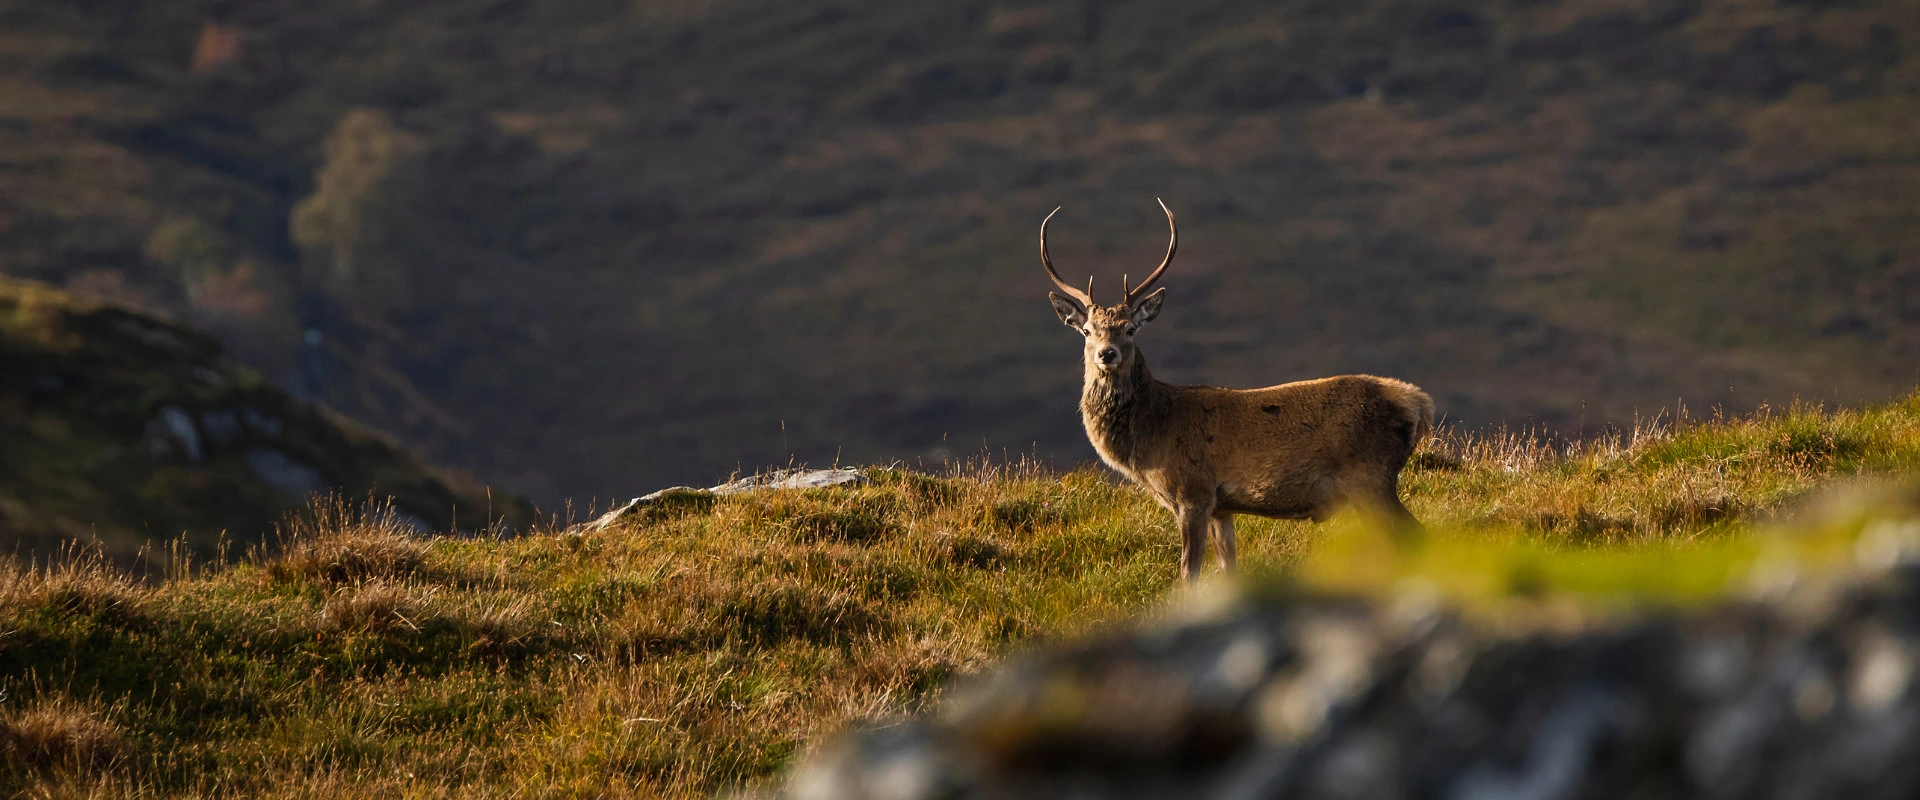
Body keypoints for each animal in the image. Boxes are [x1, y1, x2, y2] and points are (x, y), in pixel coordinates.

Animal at [1040, 199, 1434, 583]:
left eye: (1131, 329)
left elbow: (1189, 572)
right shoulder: (1222, 507)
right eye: (1087, 330)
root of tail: (1419, 404)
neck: (1152, 437)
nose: (1107, 354)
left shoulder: (1194, 492)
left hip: (1371, 477)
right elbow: (1228, 569)